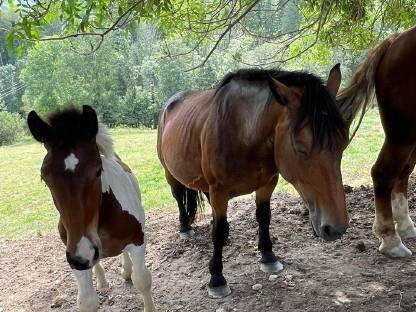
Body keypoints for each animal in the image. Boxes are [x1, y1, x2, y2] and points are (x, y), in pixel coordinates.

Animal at [27, 105, 154, 312]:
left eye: (97, 170)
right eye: (44, 177)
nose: (83, 253)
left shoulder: (138, 241)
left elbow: (142, 280)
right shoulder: (74, 257)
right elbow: (87, 301)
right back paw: (102, 280)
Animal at [158, 66, 350, 298]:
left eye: (343, 143)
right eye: (301, 147)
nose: (336, 228)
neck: (242, 133)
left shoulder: (267, 184)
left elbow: (263, 217)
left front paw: (268, 256)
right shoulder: (219, 191)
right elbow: (219, 232)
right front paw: (217, 278)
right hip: (170, 174)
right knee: (179, 196)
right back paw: (185, 228)